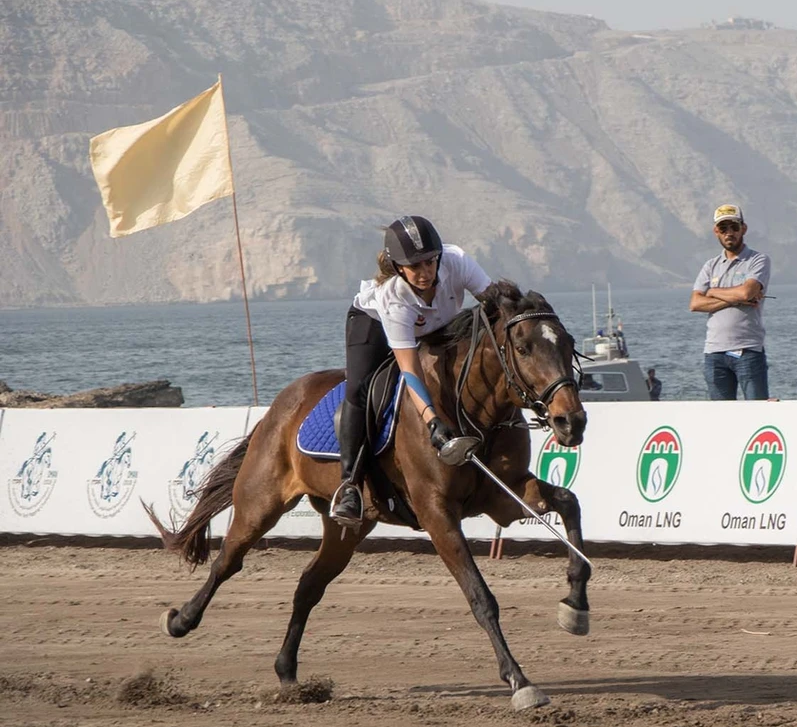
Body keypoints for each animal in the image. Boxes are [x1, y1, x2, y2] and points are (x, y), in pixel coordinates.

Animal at [146, 282, 588, 712]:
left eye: (567, 343)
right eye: (523, 347)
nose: (572, 421)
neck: (469, 410)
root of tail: (276, 408)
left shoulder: (503, 493)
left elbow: (569, 502)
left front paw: (575, 606)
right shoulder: (437, 513)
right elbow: (480, 596)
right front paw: (520, 681)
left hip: (347, 528)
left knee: (309, 585)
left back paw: (287, 671)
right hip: (260, 503)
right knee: (227, 561)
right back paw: (181, 621)